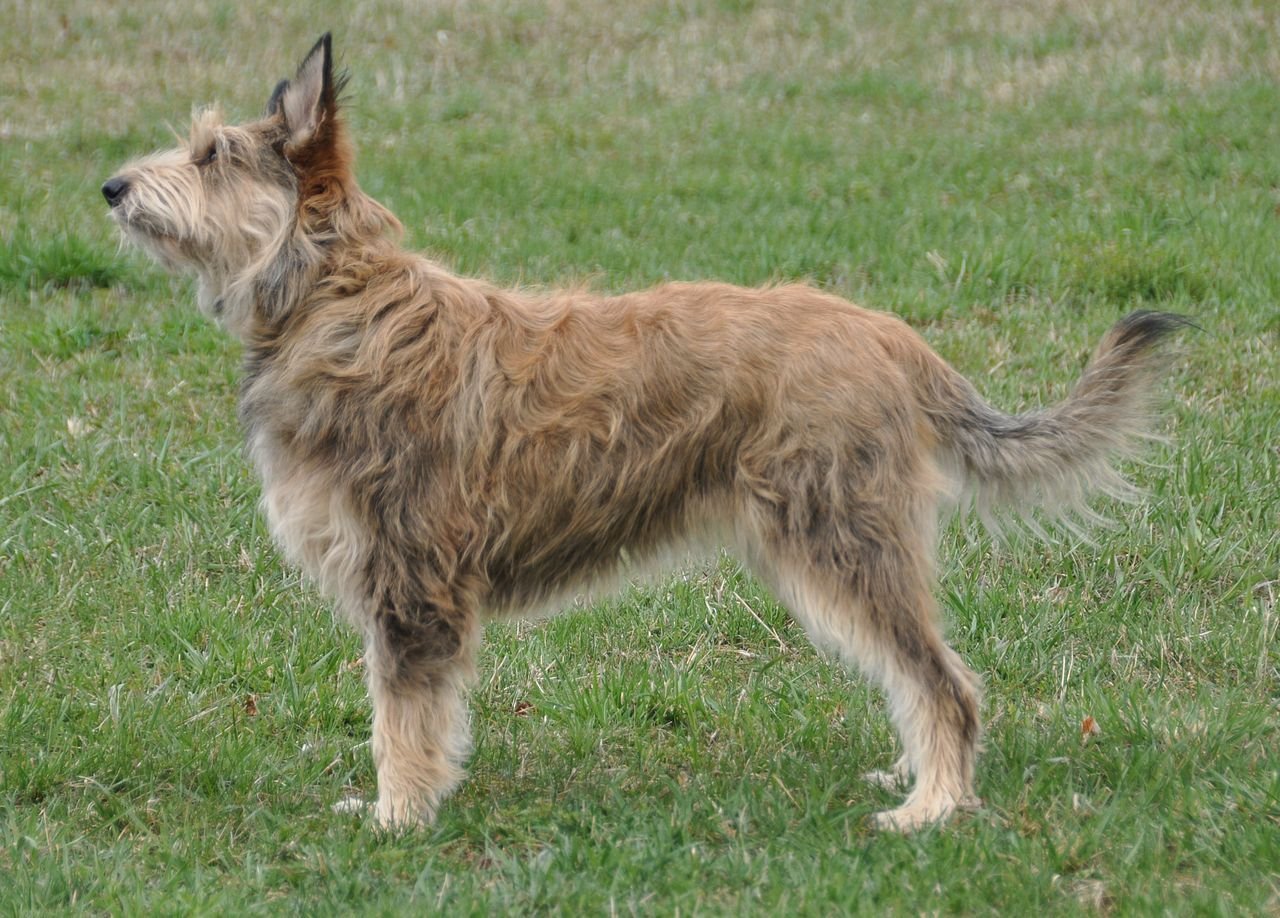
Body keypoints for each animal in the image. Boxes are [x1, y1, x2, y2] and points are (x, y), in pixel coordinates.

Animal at [104, 34, 1182, 829]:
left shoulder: (410, 581)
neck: (339, 297)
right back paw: (910, 779)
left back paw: (932, 808)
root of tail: (893, 339)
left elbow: (401, 717)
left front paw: (397, 818)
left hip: (842, 540)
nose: (112, 187)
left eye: (211, 156)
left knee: (943, 681)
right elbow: (419, 716)